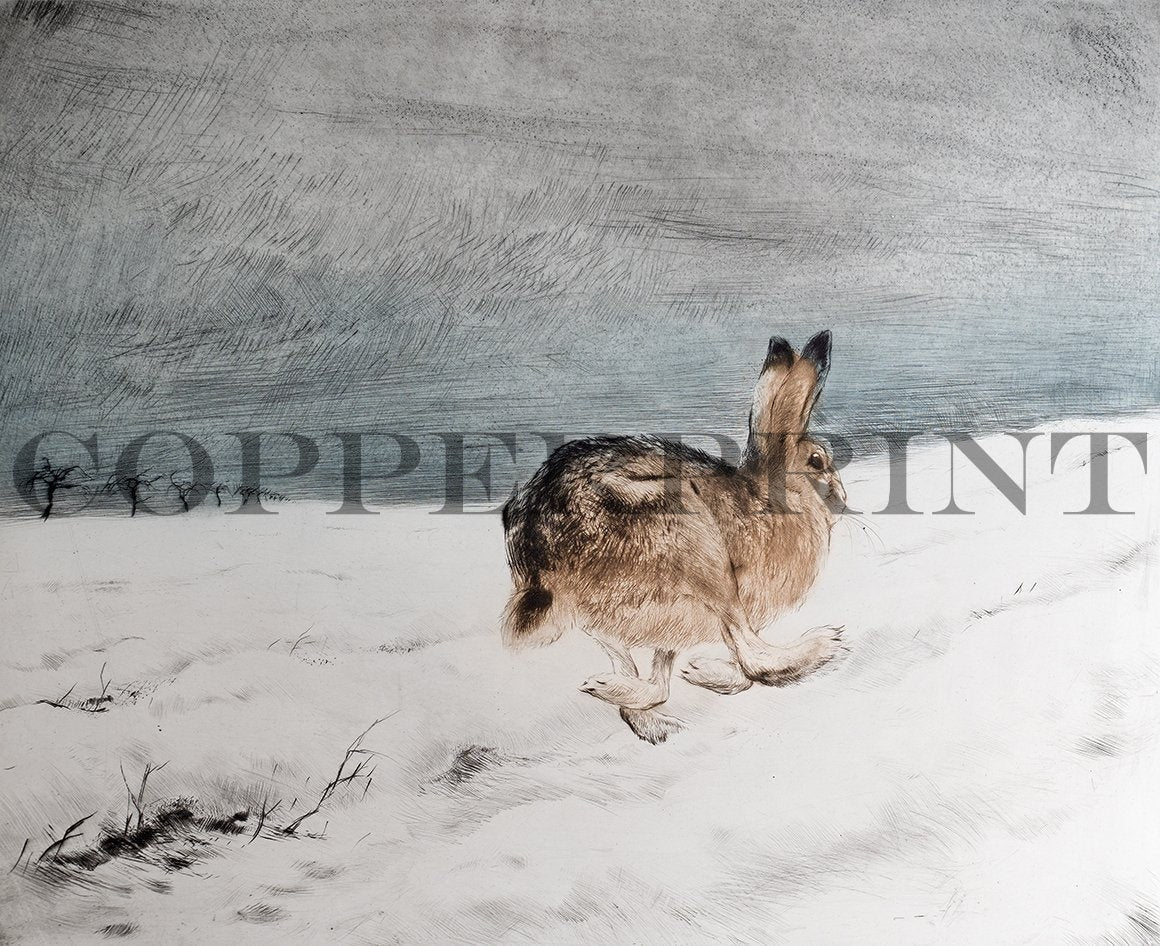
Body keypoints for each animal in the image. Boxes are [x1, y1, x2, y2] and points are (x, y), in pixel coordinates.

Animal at [500, 330, 847, 743]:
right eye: (817, 461)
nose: (843, 500)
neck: (770, 495)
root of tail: (541, 559)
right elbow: (747, 666)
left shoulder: (673, 627)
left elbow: (672, 670)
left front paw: (698, 673)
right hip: (698, 549)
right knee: (754, 657)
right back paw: (824, 642)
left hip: (613, 611)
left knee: (646, 677)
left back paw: (629, 702)